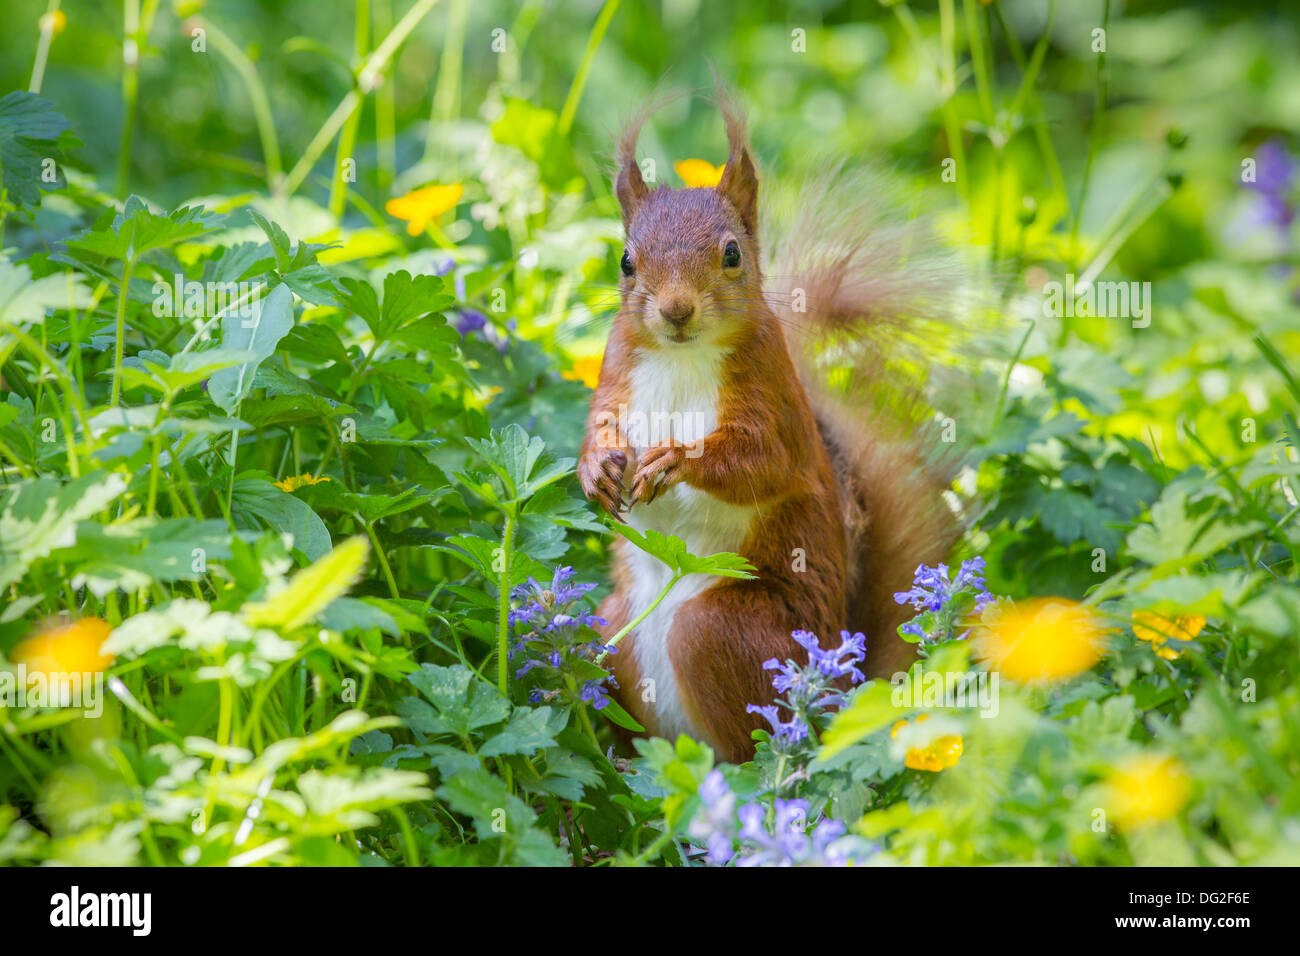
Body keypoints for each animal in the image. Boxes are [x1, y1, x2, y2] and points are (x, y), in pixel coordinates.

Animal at [577, 89, 956, 764]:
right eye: (625, 261)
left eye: (731, 253)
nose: (675, 311)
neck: (681, 356)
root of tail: (841, 691)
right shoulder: (616, 378)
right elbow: (596, 434)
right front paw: (599, 469)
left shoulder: (773, 399)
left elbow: (761, 462)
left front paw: (676, 459)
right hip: (615, 631)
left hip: (731, 633)